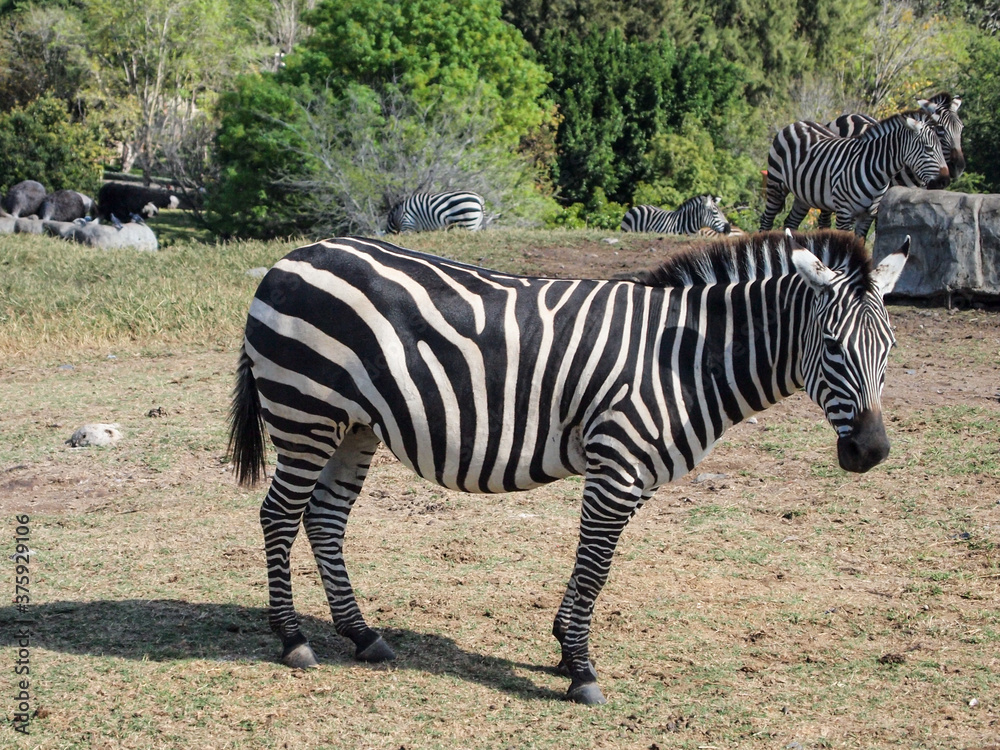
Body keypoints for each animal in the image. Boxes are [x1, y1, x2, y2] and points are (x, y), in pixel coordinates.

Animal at [229, 229, 910, 704]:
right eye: (831, 347)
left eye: (891, 349)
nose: (871, 452)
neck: (688, 359)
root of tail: (292, 258)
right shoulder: (619, 466)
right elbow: (596, 568)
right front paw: (580, 671)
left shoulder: (635, 475)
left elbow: (591, 569)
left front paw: (562, 649)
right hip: (304, 410)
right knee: (279, 515)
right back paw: (293, 640)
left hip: (354, 425)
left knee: (324, 518)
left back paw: (362, 635)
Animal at [760, 111, 950, 237]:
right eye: (928, 148)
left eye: (941, 147)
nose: (944, 181)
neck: (874, 168)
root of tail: (797, 123)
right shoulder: (845, 213)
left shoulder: (867, 216)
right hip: (776, 186)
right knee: (766, 220)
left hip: (804, 195)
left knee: (790, 223)